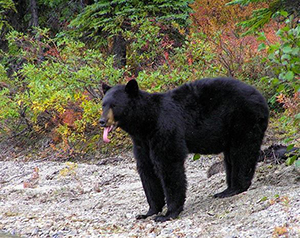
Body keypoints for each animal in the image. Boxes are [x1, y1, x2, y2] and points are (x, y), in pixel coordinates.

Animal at [99, 77, 268, 222]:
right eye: (103, 104)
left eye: (114, 105)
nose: (102, 121)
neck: (145, 123)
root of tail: (261, 97)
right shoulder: (142, 143)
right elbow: (146, 170)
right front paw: (149, 212)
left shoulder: (165, 130)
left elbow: (168, 165)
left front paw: (168, 214)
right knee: (231, 157)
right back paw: (226, 190)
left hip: (243, 119)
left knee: (242, 152)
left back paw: (236, 188)